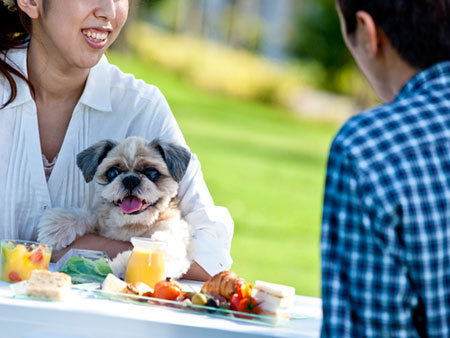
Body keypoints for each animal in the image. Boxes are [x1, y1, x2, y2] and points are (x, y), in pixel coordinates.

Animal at [37, 136, 193, 278]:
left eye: (152, 172)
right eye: (112, 172)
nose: (130, 179)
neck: (132, 225)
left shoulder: (171, 234)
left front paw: (124, 265)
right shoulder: (103, 221)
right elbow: (89, 215)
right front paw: (58, 226)